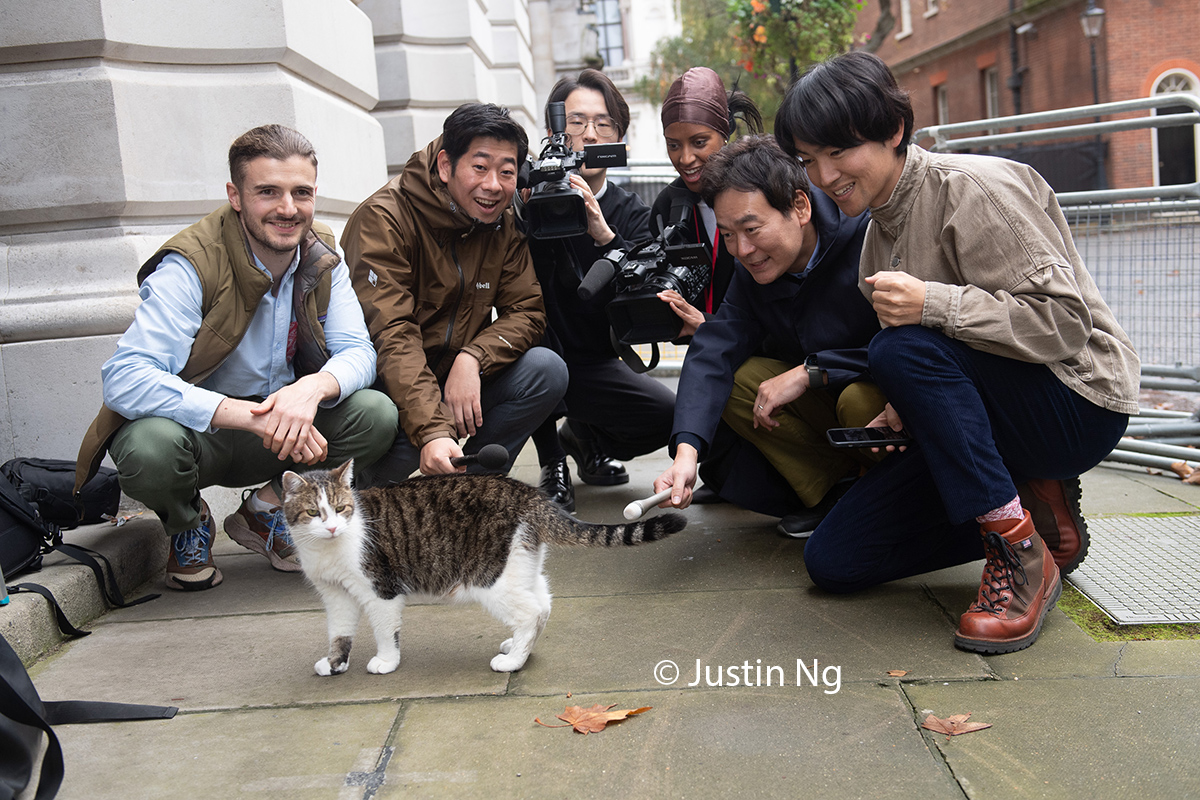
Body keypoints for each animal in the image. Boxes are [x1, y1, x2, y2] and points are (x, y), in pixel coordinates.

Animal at [279, 462, 686, 676]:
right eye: (314, 512)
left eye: (341, 508)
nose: (333, 527)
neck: (327, 549)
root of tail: (530, 493)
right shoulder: (336, 596)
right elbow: (339, 632)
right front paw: (335, 663)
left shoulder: (379, 590)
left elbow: (384, 632)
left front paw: (386, 662)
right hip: (520, 566)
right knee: (543, 605)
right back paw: (517, 648)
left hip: (489, 578)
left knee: (532, 612)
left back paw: (512, 661)